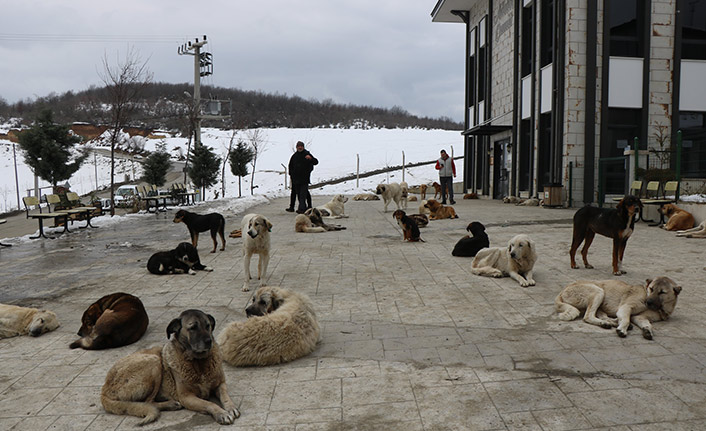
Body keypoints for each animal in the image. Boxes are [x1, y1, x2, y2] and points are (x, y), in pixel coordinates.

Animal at [100, 308, 239, 426]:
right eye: (193, 328)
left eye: (208, 326)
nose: (209, 341)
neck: (199, 363)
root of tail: (104, 389)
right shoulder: (186, 397)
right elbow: (208, 403)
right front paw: (221, 413)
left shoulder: (220, 384)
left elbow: (225, 396)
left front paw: (231, 408)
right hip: (154, 362)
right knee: (148, 402)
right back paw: (171, 404)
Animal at [552, 276, 680, 340]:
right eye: (651, 289)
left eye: (662, 292)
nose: (647, 302)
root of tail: (563, 290)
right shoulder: (626, 307)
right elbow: (626, 319)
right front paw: (622, 329)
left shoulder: (639, 317)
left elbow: (648, 324)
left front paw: (647, 330)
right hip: (598, 291)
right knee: (588, 316)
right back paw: (610, 324)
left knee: (602, 316)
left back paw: (611, 323)